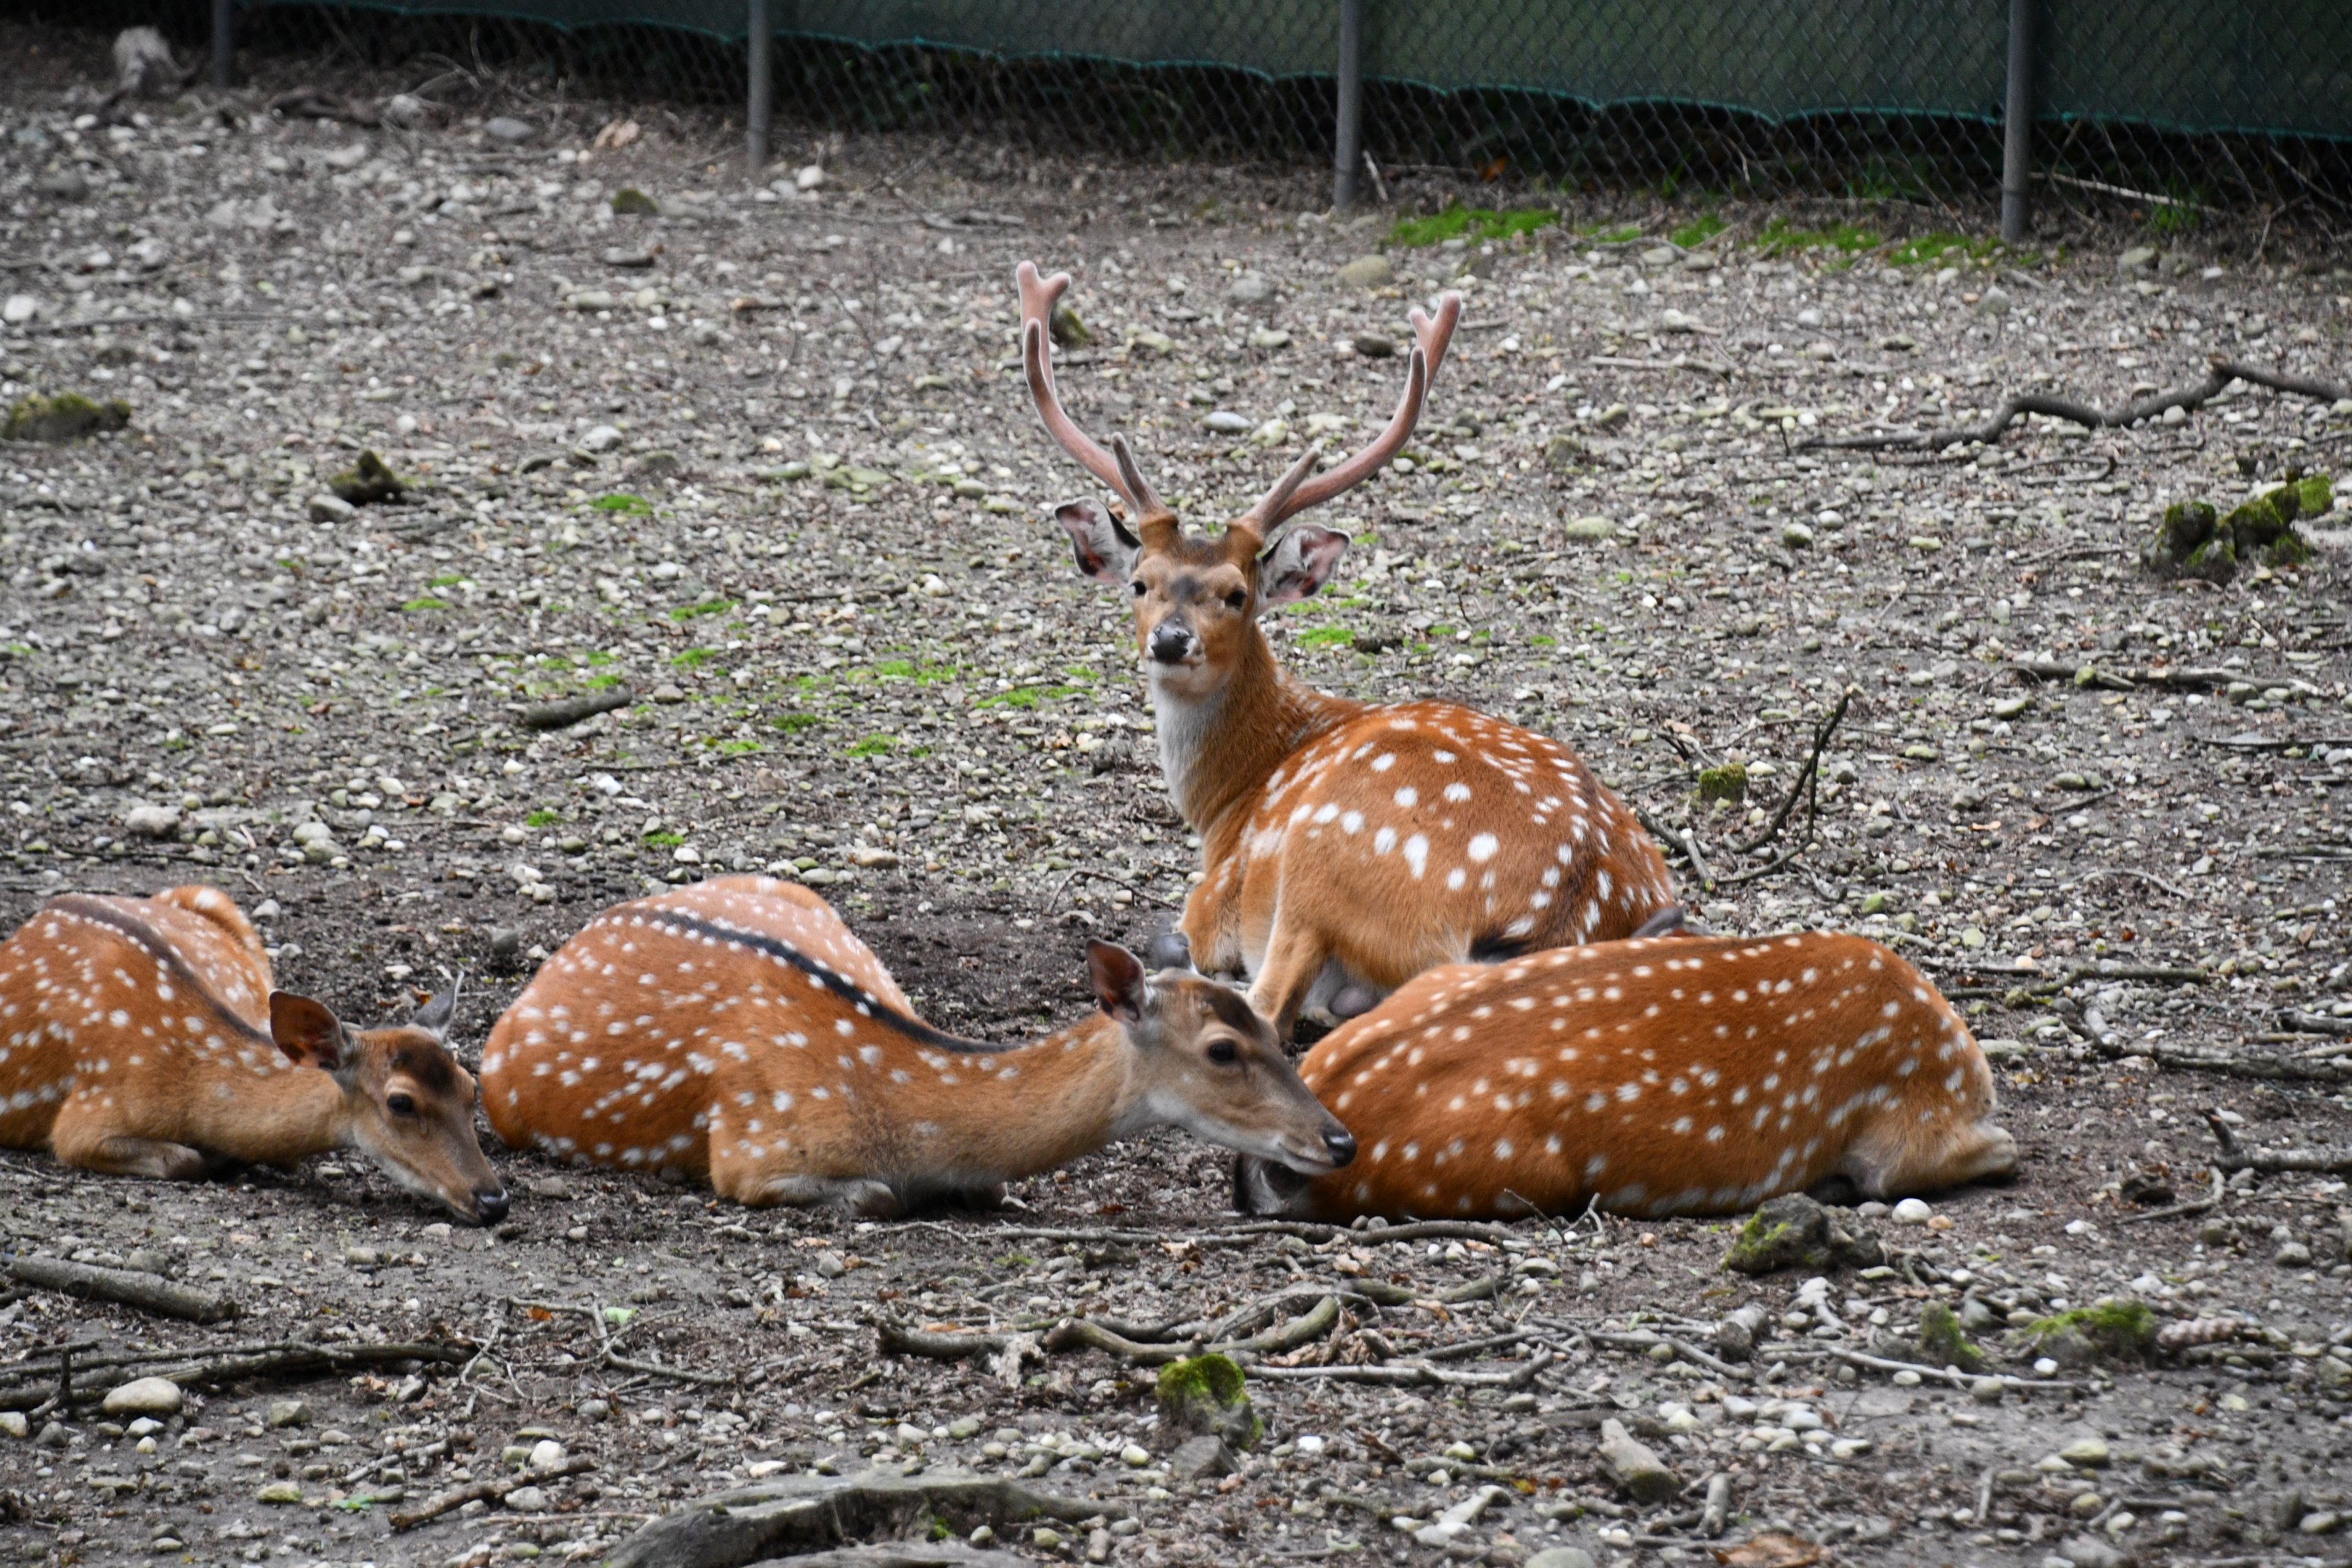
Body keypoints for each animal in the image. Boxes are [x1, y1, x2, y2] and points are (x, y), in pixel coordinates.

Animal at [0, 885, 509, 1223]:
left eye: (471, 1087)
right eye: (400, 1102)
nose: (494, 1200)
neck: (188, 1082)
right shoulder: (86, 1116)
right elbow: (183, 1160)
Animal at [1016, 260, 1675, 1040]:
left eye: (1237, 594)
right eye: (1140, 582)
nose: (1170, 639)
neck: (1228, 802)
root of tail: (1560, 912)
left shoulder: (1215, 894)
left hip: (1322, 864)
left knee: (1270, 1007)